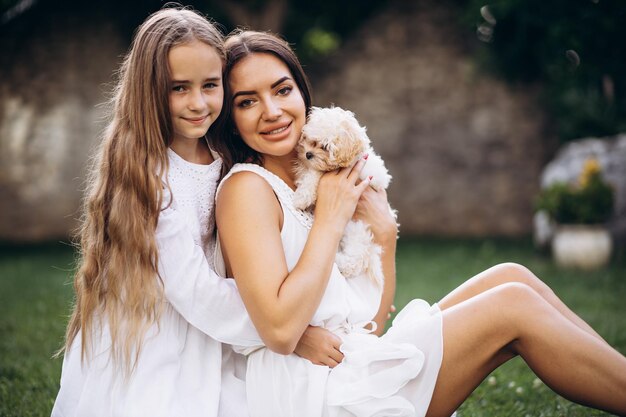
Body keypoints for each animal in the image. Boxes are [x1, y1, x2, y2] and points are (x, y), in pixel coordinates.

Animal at [292, 105, 390, 286]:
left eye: (324, 147)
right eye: (310, 140)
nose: (308, 154)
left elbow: (316, 172)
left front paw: (302, 197)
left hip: (359, 235)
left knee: (357, 259)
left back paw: (340, 263)